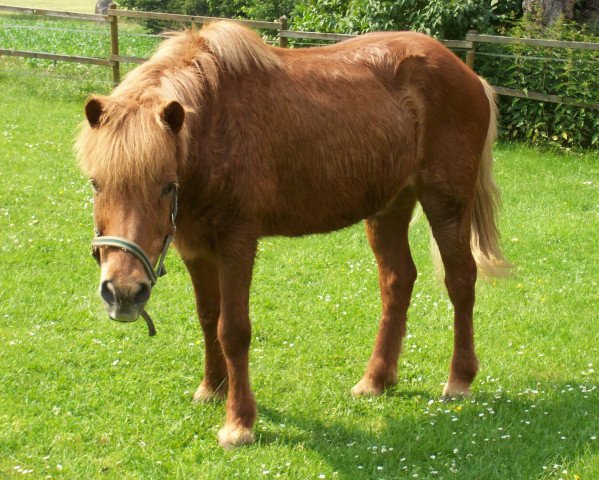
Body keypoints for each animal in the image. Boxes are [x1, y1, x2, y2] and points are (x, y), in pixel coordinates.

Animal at [76, 20, 510, 448]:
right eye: (97, 183)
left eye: (167, 186)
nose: (123, 293)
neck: (214, 126)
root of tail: (469, 75)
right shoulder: (194, 244)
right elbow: (207, 317)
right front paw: (212, 388)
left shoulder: (237, 240)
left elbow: (233, 329)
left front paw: (239, 423)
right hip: (390, 206)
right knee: (398, 281)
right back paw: (376, 380)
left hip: (446, 203)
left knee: (460, 281)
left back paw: (459, 380)